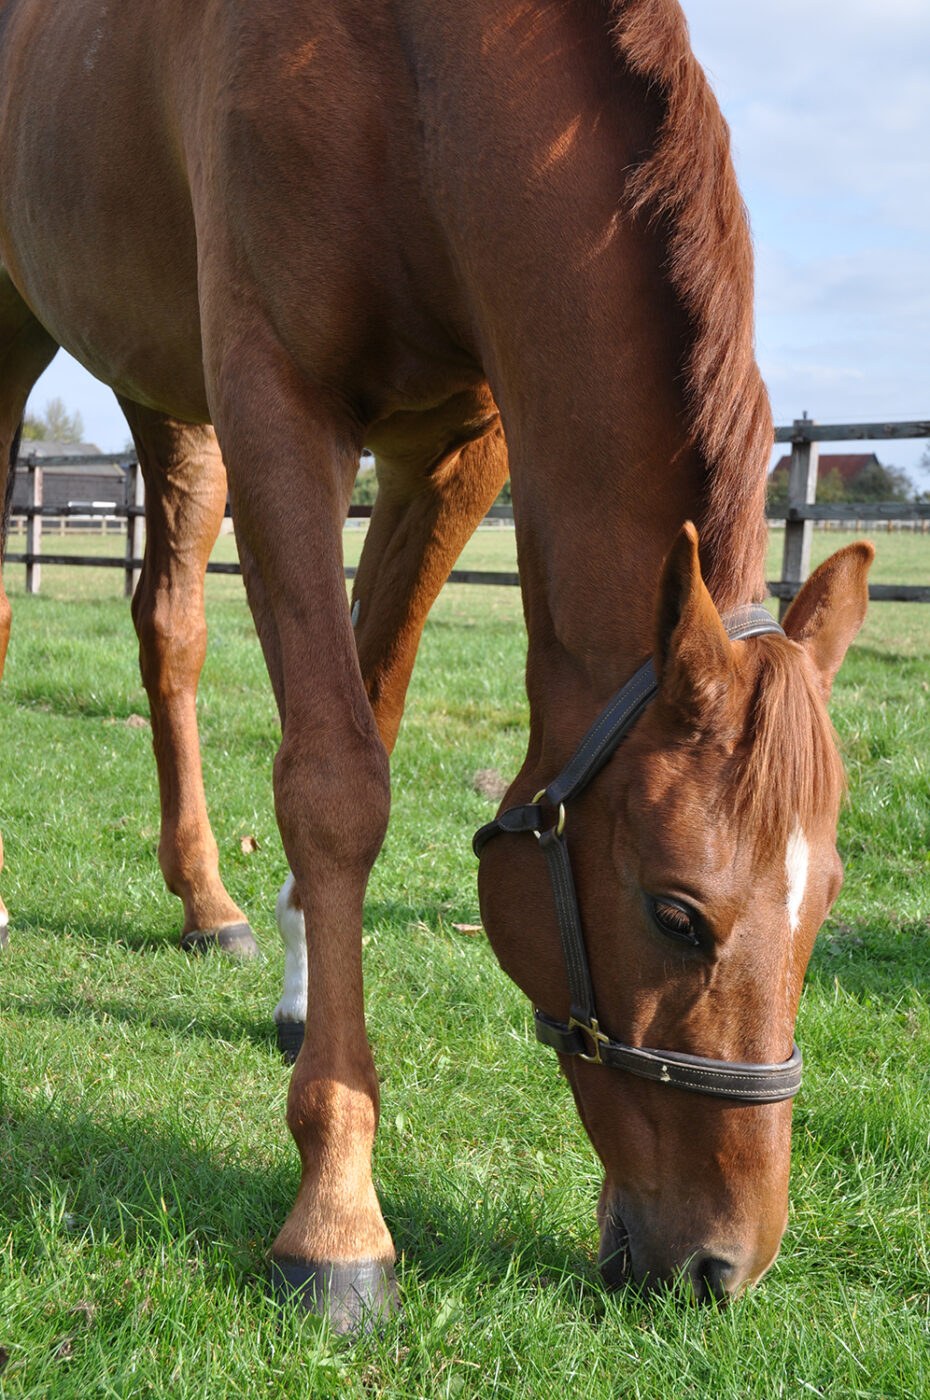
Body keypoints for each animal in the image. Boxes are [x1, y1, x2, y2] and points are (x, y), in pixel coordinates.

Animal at [0, 0, 873, 1328]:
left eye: (826, 898)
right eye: (676, 914)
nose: (725, 1265)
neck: (406, 75)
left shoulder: (454, 448)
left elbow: (369, 704)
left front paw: (301, 983)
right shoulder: (279, 397)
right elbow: (335, 782)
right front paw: (336, 1217)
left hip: (164, 390)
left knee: (171, 626)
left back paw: (208, 903)